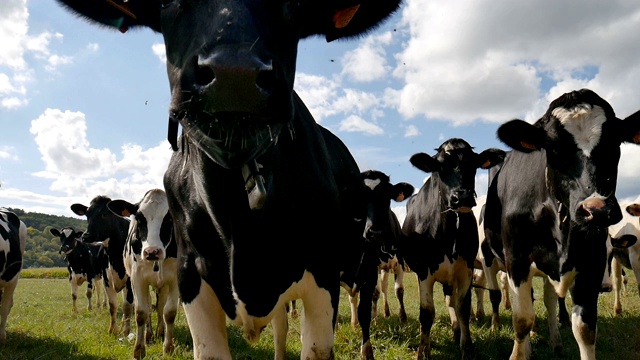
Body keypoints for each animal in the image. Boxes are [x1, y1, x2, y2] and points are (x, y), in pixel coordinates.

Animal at [71, 195, 134, 336]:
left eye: (104, 214)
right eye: (87, 214)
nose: (86, 236)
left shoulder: (130, 279)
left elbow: (127, 306)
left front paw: (126, 331)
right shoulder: (107, 278)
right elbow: (113, 305)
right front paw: (113, 329)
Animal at [107, 190, 178, 358]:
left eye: (169, 217)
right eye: (139, 218)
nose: (152, 252)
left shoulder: (175, 280)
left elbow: (169, 313)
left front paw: (168, 347)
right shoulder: (137, 279)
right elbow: (140, 313)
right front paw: (139, 349)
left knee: (160, 308)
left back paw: (159, 332)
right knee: (149, 308)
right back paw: (149, 335)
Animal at [400, 139, 504, 360]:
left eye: (473, 165)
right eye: (440, 166)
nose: (462, 197)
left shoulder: (465, 269)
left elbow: (463, 307)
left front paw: (468, 348)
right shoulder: (424, 271)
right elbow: (426, 313)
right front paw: (423, 351)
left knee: (451, 300)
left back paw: (457, 332)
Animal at [484, 88, 640, 360]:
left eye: (614, 144)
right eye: (553, 148)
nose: (596, 209)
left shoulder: (592, 260)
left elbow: (585, 328)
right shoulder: (516, 259)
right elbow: (522, 319)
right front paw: (520, 352)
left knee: (548, 300)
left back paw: (554, 341)